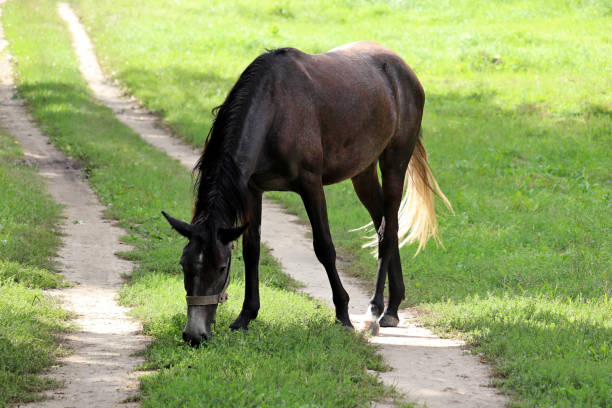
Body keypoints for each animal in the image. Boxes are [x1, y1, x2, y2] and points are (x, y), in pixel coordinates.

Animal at [161, 41, 450, 346]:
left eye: (220, 267)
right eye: (184, 265)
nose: (194, 335)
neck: (275, 109)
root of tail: (402, 69)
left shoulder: (311, 186)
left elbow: (324, 247)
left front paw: (343, 315)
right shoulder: (253, 189)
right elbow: (252, 250)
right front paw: (245, 316)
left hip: (394, 163)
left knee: (387, 232)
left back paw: (374, 312)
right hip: (364, 173)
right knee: (385, 224)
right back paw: (392, 308)